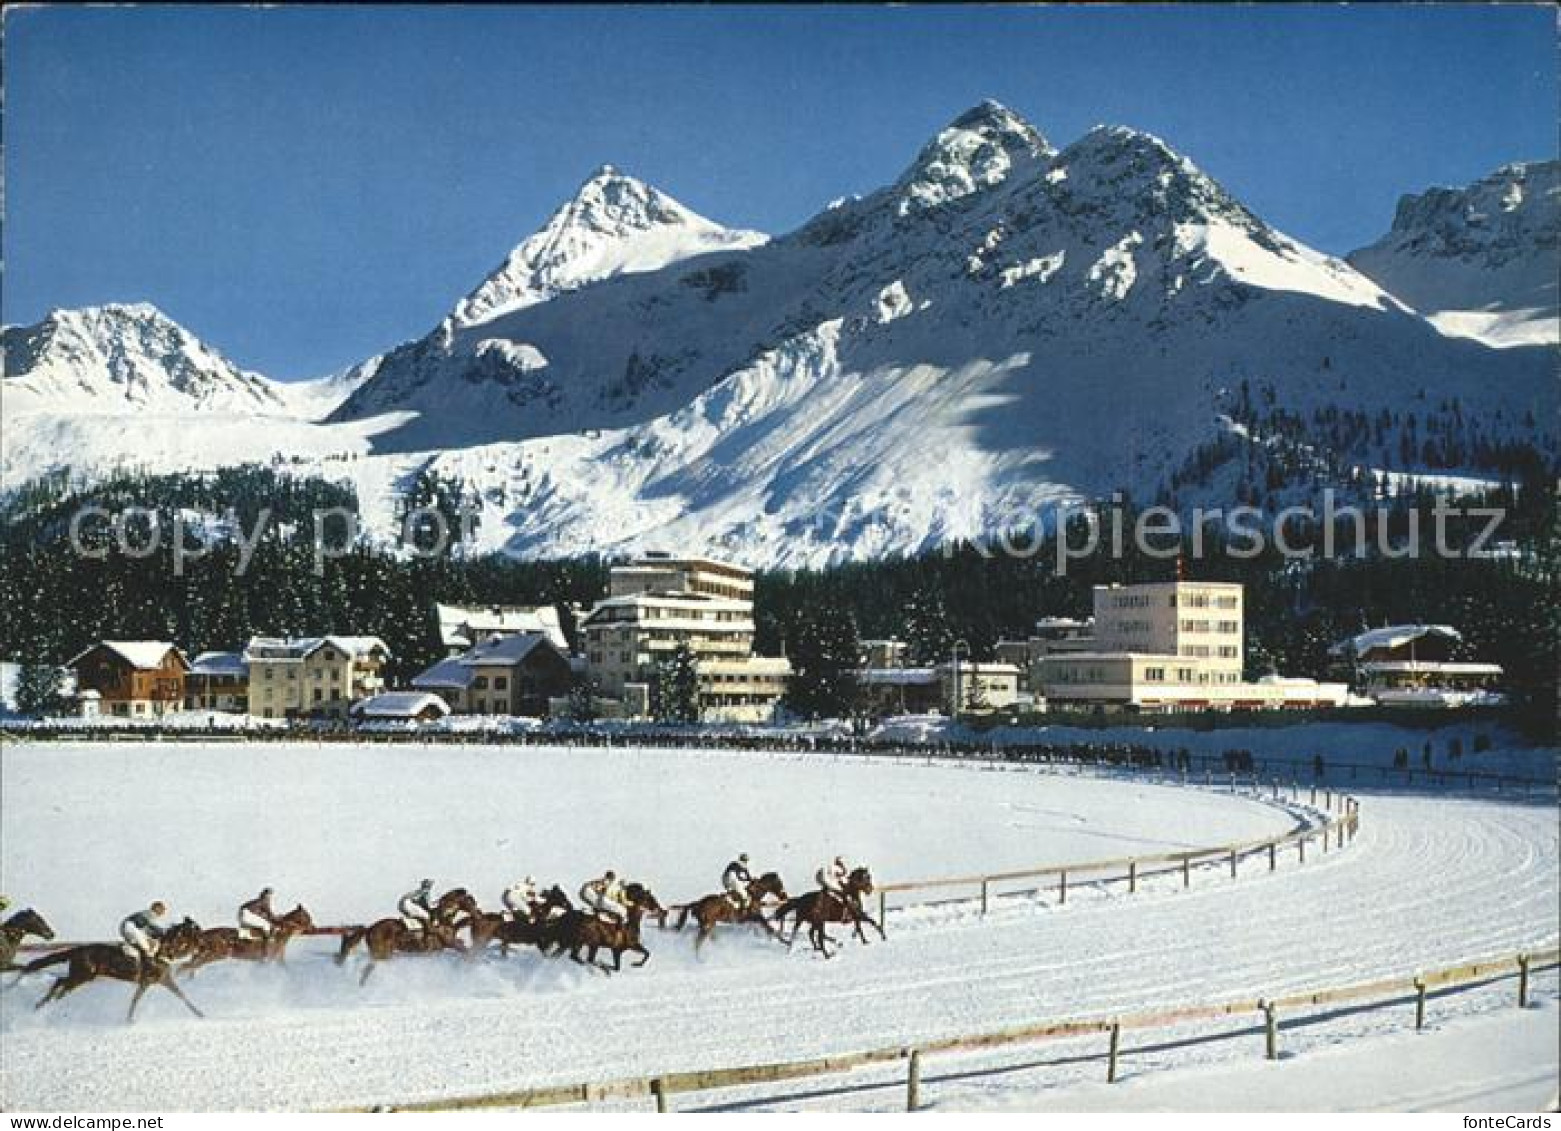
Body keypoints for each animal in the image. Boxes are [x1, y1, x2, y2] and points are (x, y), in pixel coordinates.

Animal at [21, 917, 206, 1023]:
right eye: (194, 932)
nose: (203, 943)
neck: (161, 952)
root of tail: (78, 949)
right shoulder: (152, 980)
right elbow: (138, 999)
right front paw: (129, 1020)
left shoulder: (160, 980)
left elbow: (181, 996)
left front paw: (200, 1014)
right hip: (82, 976)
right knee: (62, 986)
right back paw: (46, 1005)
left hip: (82, 976)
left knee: (60, 982)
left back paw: (41, 1005)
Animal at [184, 898, 315, 973]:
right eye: (308, 918)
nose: (314, 927)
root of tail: (201, 935)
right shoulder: (267, 959)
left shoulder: (275, 960)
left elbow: (284, 967)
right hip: (213, 955)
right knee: (189, 967)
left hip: (205, 955)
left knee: (189, 966)